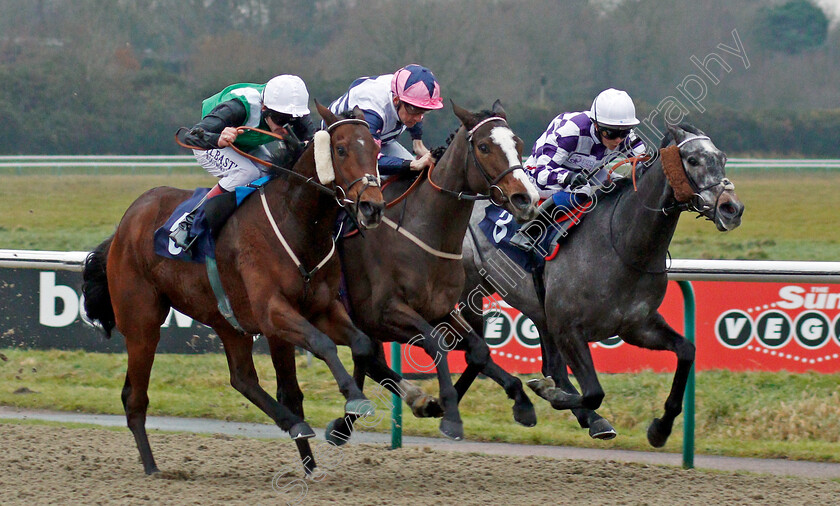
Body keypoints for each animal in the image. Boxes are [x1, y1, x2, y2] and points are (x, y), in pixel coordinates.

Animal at [80, 103, 382, 474]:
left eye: (375, 149)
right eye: (340, 150)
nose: (372, 207)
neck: (296, 223)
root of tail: (125, 225)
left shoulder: (322, 308)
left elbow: (361, 343)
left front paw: (344, 417)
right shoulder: (272, 311)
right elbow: (323, 344)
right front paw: (355, 399)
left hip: (228, 321)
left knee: (244, 379)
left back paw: (298, 434)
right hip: (142, 323)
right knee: (134, 396)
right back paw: (151, 468)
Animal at [332, 101, 540, 440]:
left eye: (518, 143)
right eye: (484, 147)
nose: (526, 199)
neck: (423, 229)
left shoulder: (440, 309)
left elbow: (479, 350)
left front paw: (520, 400)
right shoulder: (386, 312)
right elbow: (435, 343)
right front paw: (449, 413)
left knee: (368, 357)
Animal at [460, 122, 740, 446]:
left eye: (722, 157)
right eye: (693, 160)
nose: (732, 209)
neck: (621, 243)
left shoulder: (636, 326)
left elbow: (686, 351)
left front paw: (661, 428)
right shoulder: (569, 329)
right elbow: (593, 392)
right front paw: (550, 394)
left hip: (536, 308)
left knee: (545, 364)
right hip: (467, 290)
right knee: (469, 346)